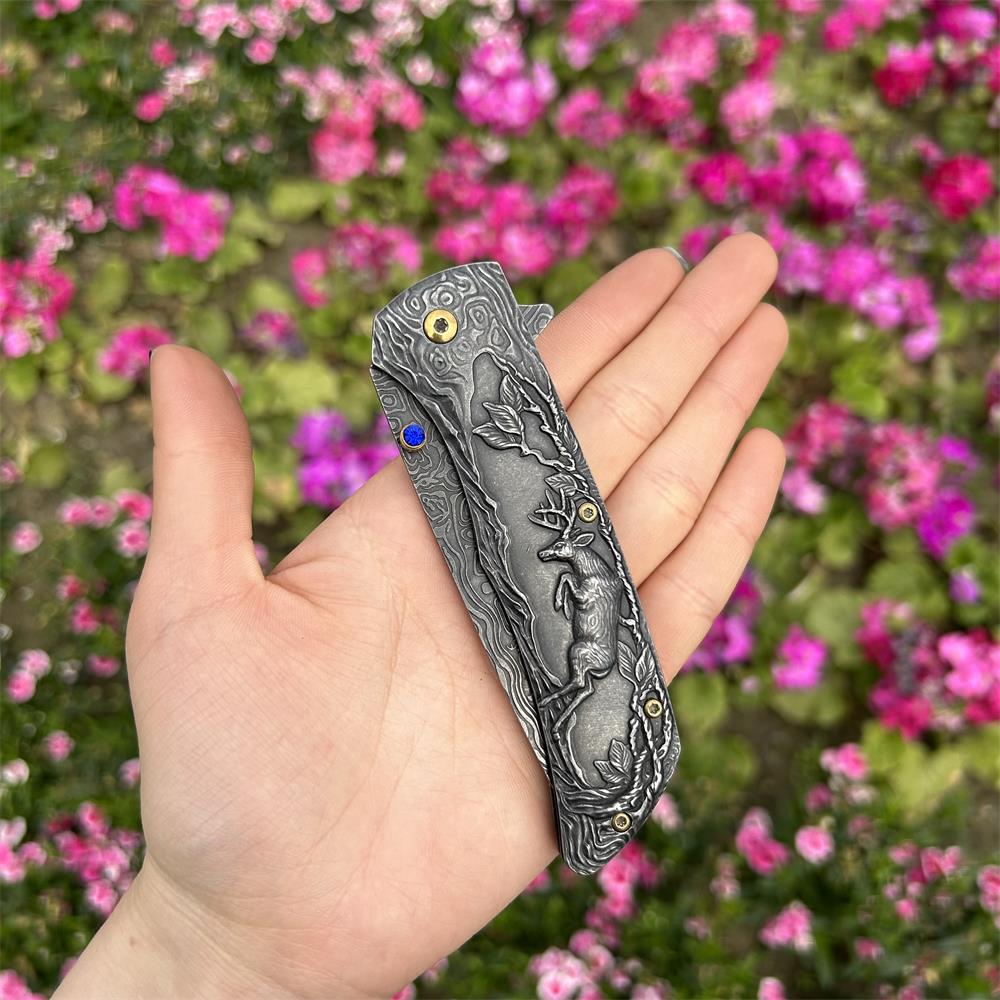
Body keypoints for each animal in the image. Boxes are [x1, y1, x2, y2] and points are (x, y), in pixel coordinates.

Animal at [531, 494, 625, 732]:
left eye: (560, 543)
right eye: (555, 539)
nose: (542, 553)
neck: (593, 571)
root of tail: (608, 667)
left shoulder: (586, 595)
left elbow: (566, 575)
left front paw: (558, 603)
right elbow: (568, 576)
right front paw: (562, 603)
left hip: (577, 650)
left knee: (579, 682)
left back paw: (546, 703)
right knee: (587, 688)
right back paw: (556, 725)